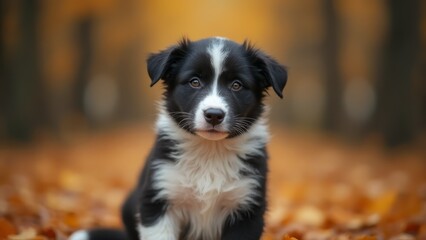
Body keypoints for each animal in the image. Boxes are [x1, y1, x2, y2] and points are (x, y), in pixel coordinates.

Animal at [70, 37, 288, 240]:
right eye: (194, 82)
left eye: (236, 85)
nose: (214, 115)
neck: (209, 150)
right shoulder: (158, 198)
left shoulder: (247, 206)